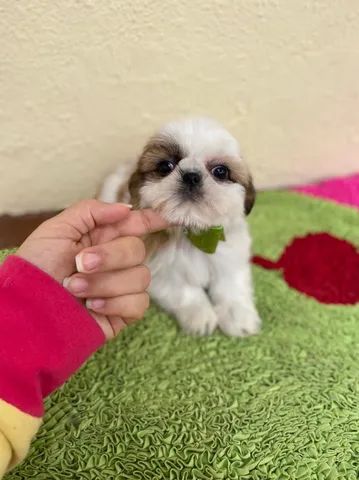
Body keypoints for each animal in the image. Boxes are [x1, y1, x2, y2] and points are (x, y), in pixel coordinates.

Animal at [98, 116, 262, 336]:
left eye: (221, 171)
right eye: (165, 166)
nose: (191, 176)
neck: (194, 235)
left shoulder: (230, 257)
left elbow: (231, 286)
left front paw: (238, 315)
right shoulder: (159, 271)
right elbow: (185, 291)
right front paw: (200, 316)